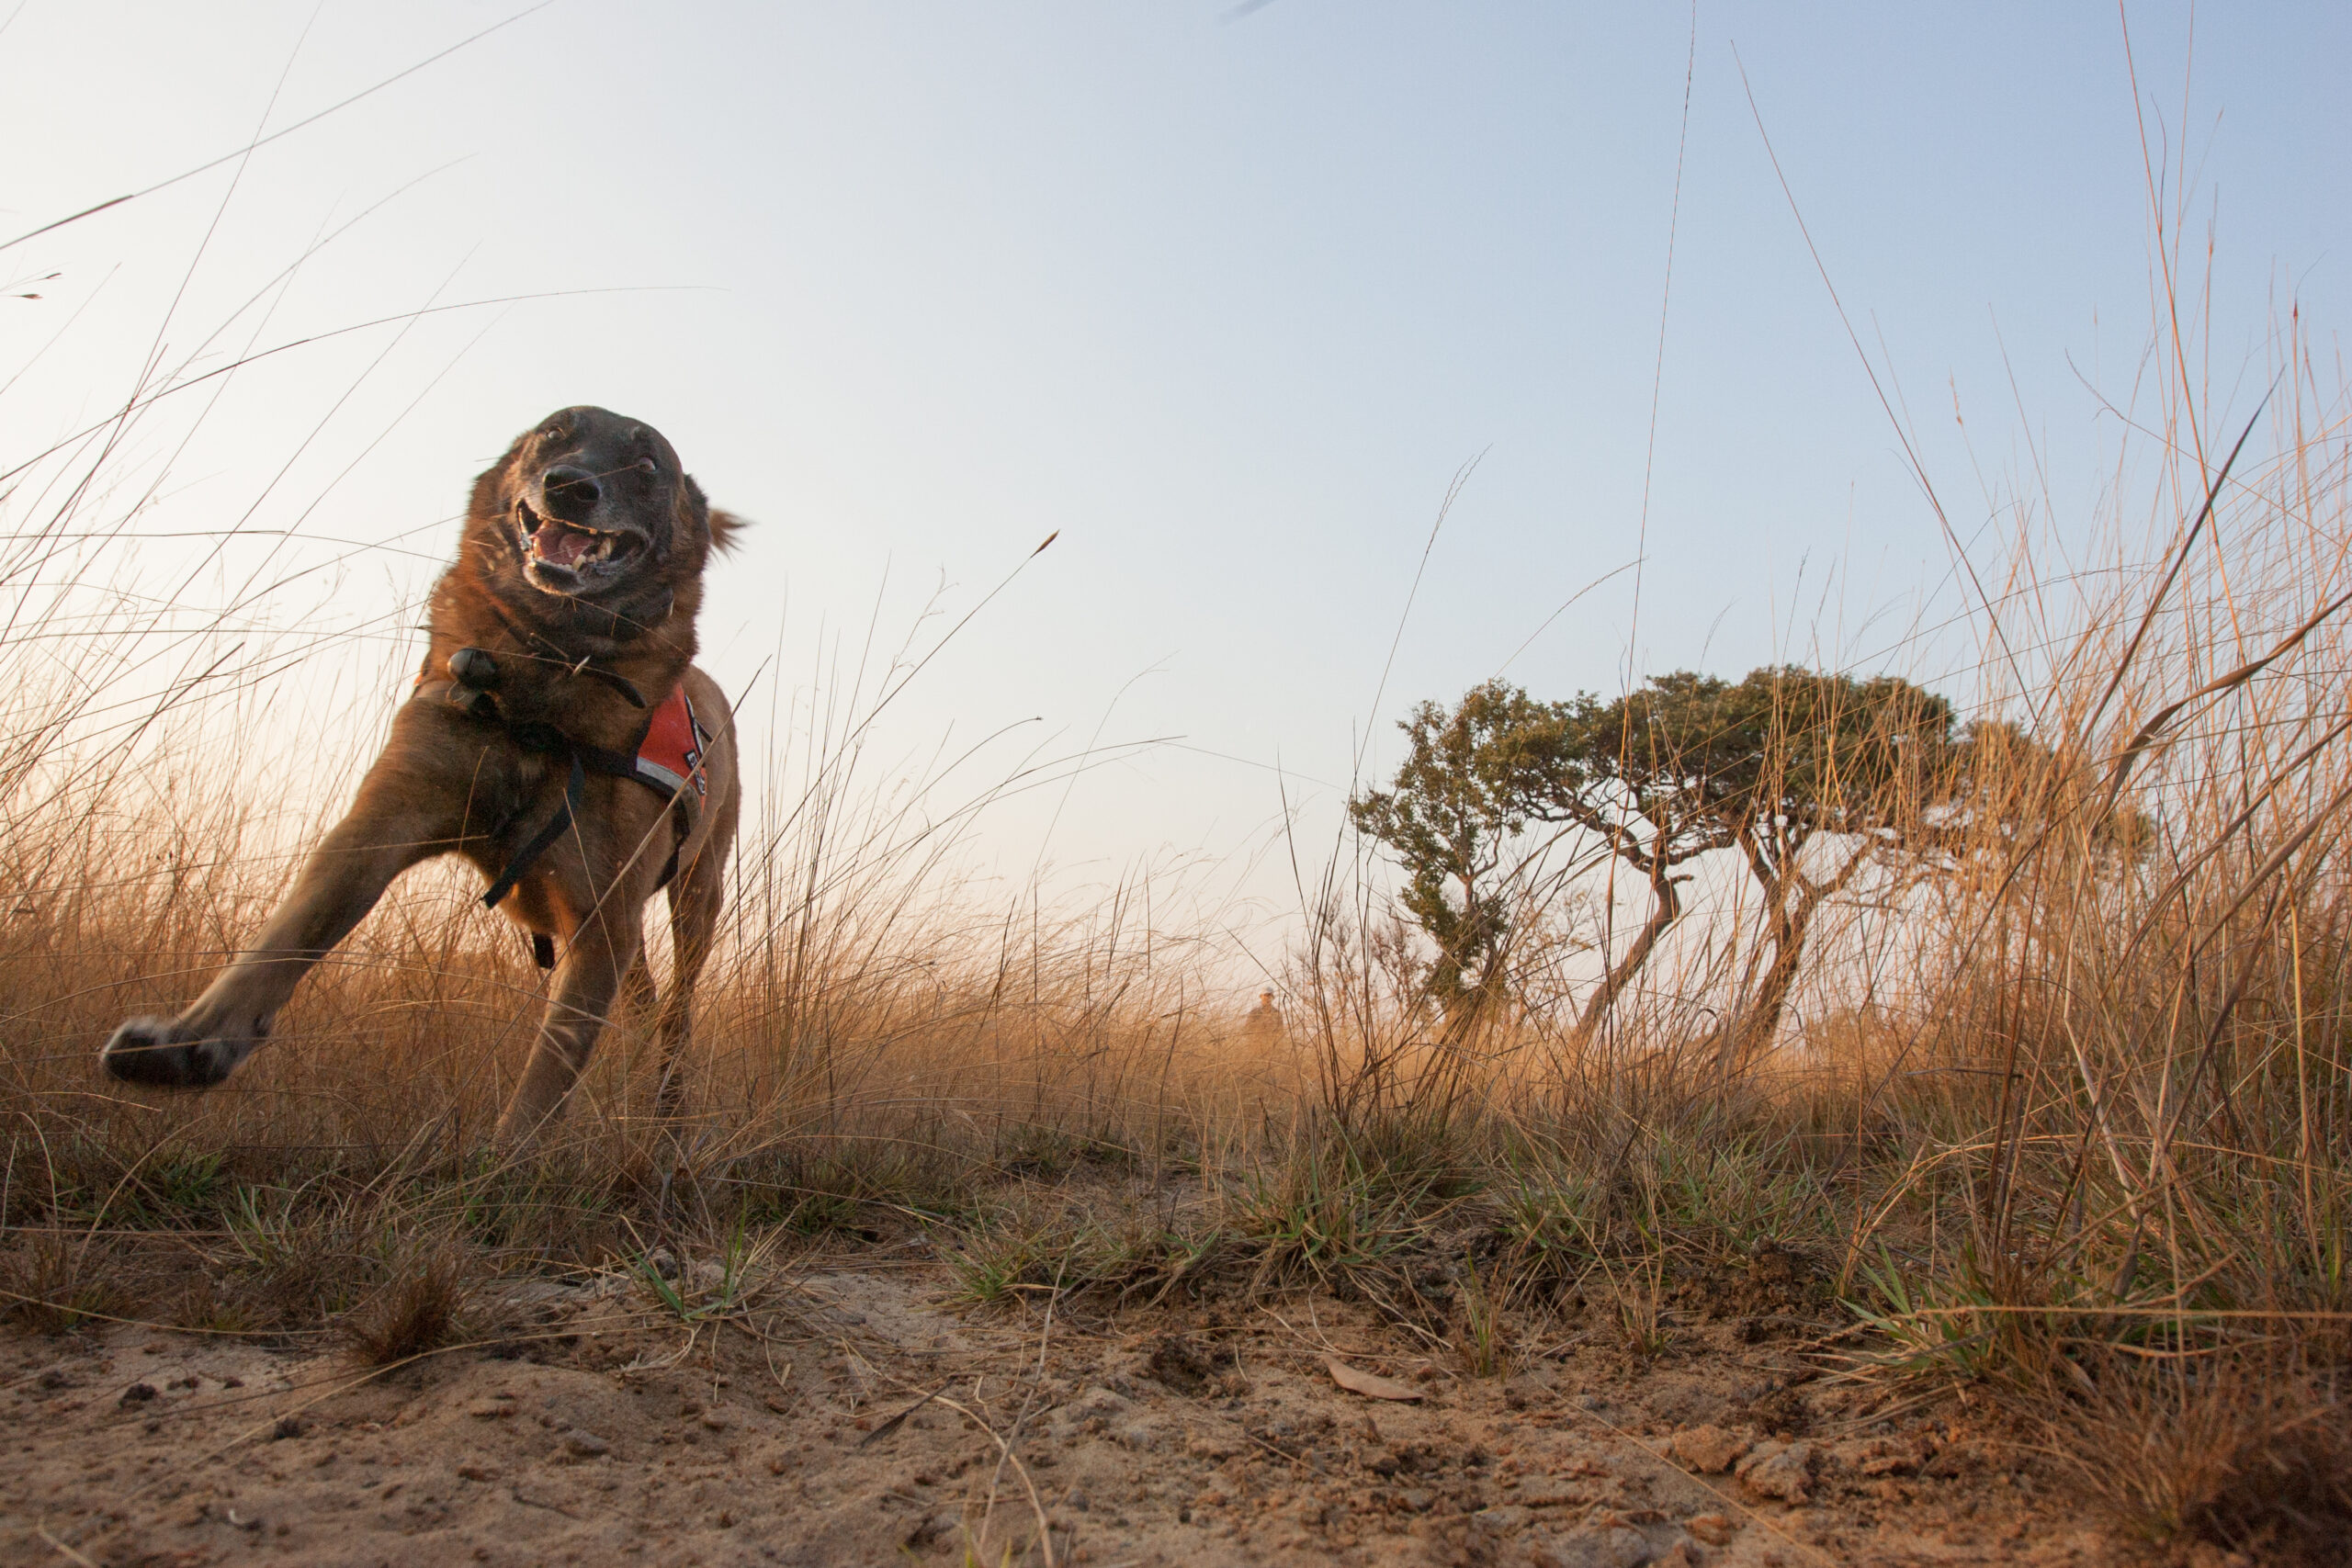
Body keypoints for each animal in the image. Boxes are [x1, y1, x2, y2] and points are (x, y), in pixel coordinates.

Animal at [101, 404, 738, 1142]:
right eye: (556, 433)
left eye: (647, 466)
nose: (571, 486)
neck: (543, 684)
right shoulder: (381, 825)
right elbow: (288, 937)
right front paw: (193, 1040)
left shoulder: (603, 917)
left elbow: (550, 1067)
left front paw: (508, 1155)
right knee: (643, 1000)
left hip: (696, 898)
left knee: (675, 1014)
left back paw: (664, 1114)